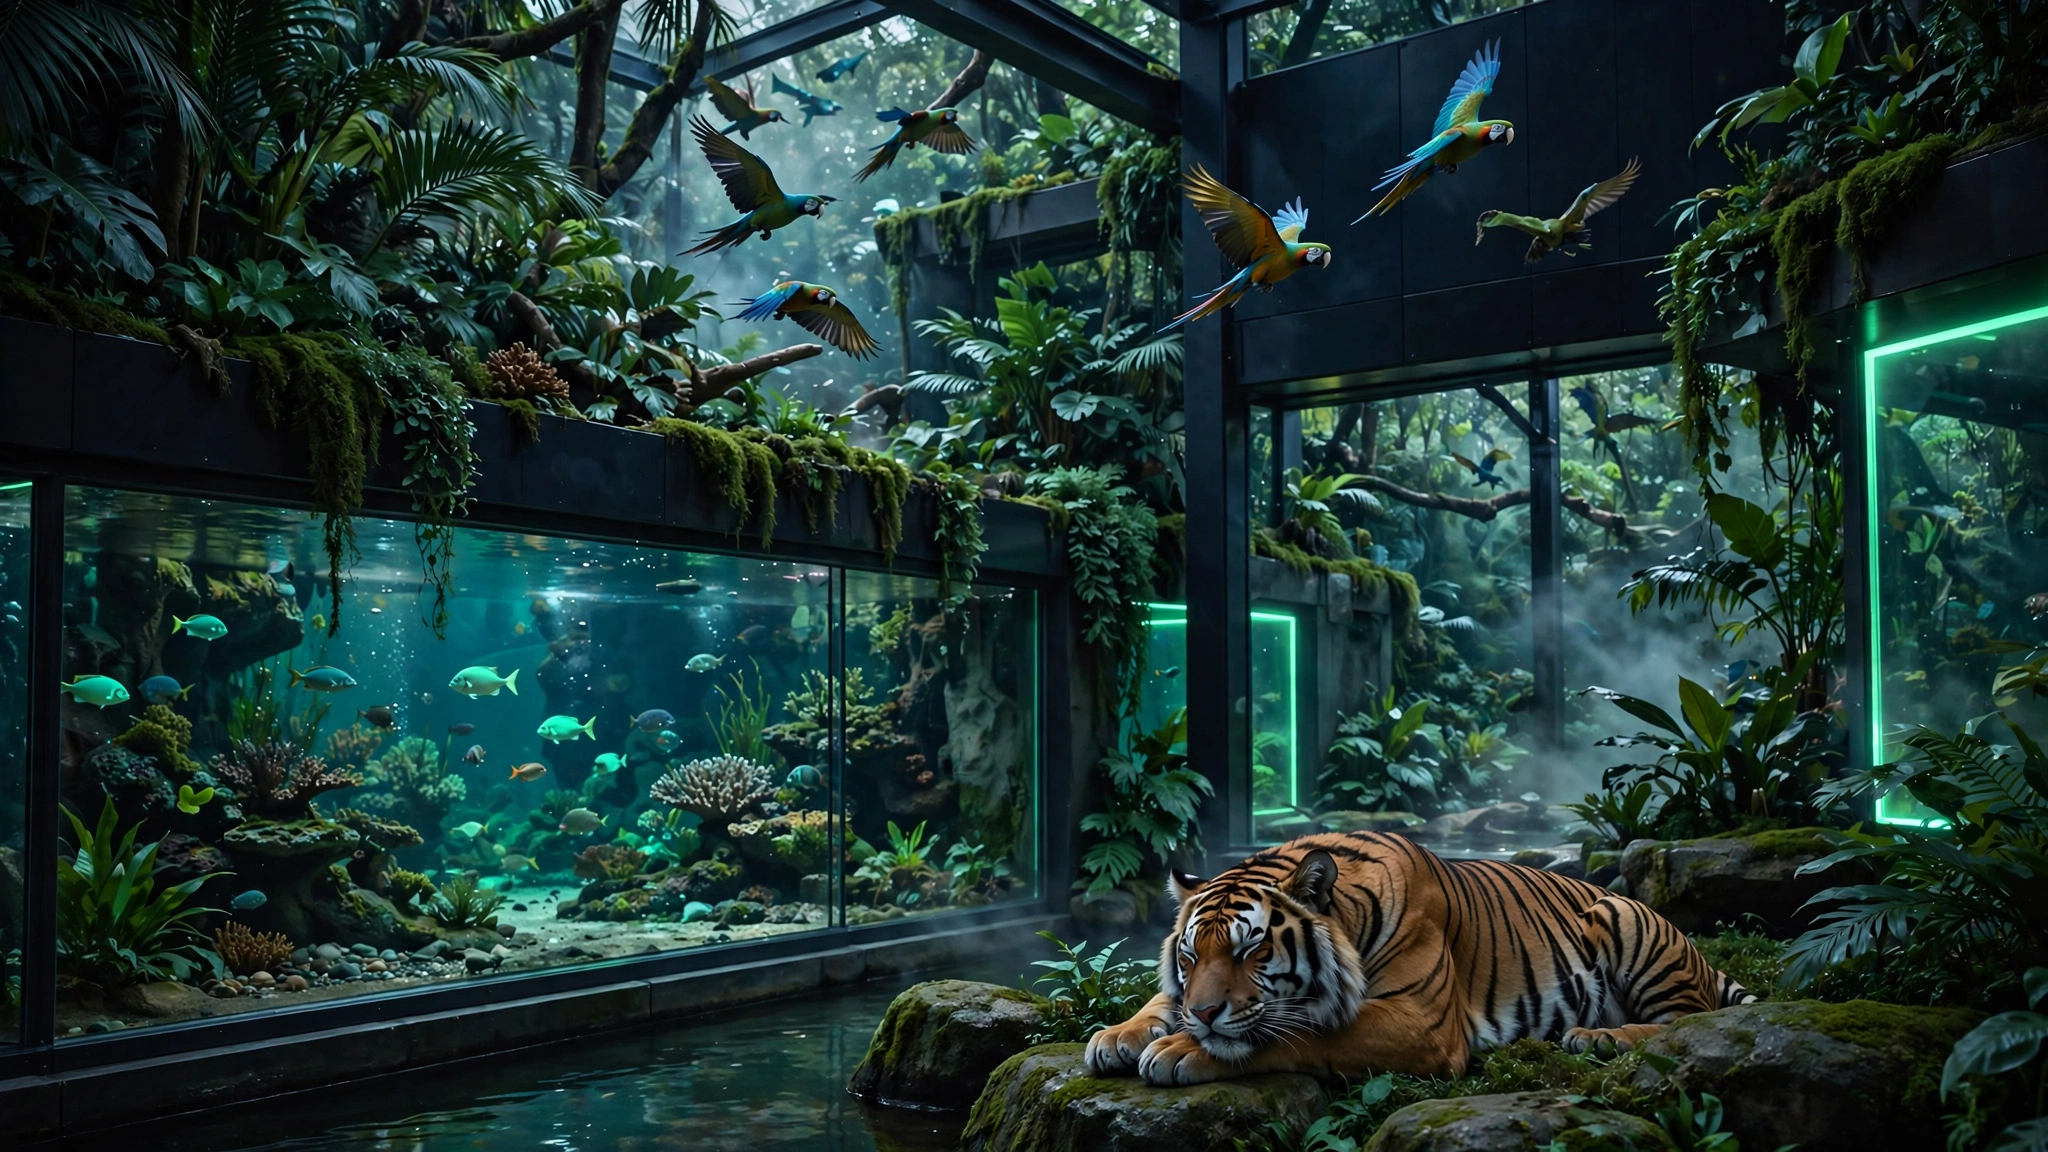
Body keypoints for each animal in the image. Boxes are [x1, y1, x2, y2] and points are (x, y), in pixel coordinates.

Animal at [1084, 831, 1755, 1086]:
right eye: (1190, 956)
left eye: (1253, 949)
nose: (1203, 1015)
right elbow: (1158, 1002)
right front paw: (1117, 1036)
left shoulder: (1422, 1025)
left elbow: (1299, 1033)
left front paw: (1179, 1050)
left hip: (1621, 915)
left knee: (1688, 1021)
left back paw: (1599, 1038)